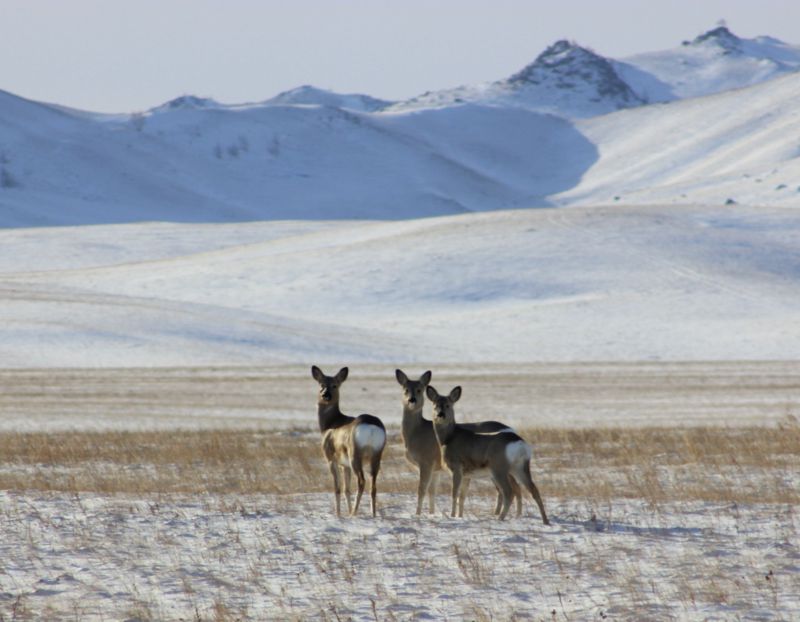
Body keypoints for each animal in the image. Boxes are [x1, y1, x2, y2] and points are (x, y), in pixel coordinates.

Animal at [310, 368, 386, 520]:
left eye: (335, 385)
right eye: (321, 384)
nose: (325, 395)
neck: (330, 424)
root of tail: (372, 427)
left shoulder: (331, 459)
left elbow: (337, 488)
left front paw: (338, 514)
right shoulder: (345, 465)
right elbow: (347, 489)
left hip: (355, 454)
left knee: (362, 481)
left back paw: (354, 513)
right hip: (376, 455)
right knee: (373, 485)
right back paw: (373, 514)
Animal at [396, 370, 524, 516]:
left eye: (419, 389)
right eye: (405, 389)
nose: (412, 400)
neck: (416, 433)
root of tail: (512, 430)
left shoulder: (426, 461)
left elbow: (421, 490)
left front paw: (417, 514)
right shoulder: (435, 469)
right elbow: (432, 492)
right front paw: (431, 514)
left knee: (512, 489)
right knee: (510, 489)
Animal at [424, 386, 552, 528]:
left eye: (448, 405)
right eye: (435, 405)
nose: (441, 414)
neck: (448, 439)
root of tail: (520, 444)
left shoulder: (457, 467)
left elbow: (454, 493)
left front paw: (452, 516)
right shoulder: (467, 474)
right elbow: (461, 496)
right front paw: (459, 516)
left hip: (499, 468)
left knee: (509, 492)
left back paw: (500, 518)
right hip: (520, 467)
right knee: (534, 490)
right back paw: (545, 521)